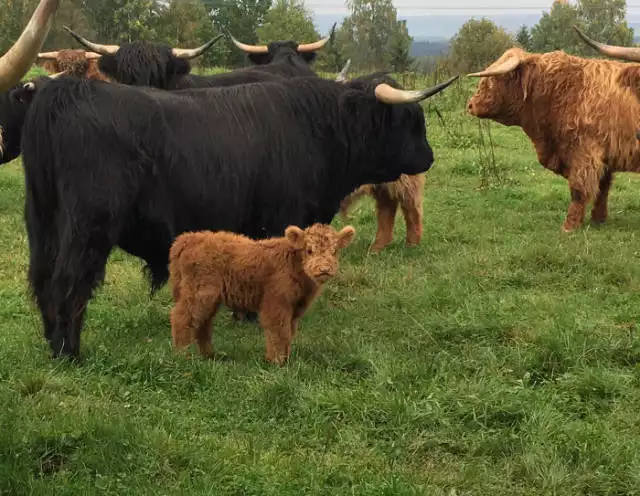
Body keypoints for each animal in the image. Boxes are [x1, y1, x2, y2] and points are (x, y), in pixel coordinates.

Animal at [168, 224, 356, 364]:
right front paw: (277, 361)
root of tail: (188, 238)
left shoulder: (293, 309)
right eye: (309, 250)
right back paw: (183, 356)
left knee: (203, 324)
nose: (324, 269)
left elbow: (289, 332)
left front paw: (286, 359)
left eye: (334, 251)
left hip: (210, 298)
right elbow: (278, 332)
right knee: (182, 318)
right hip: (199, 294)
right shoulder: (275, 303)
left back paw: (210, 355)